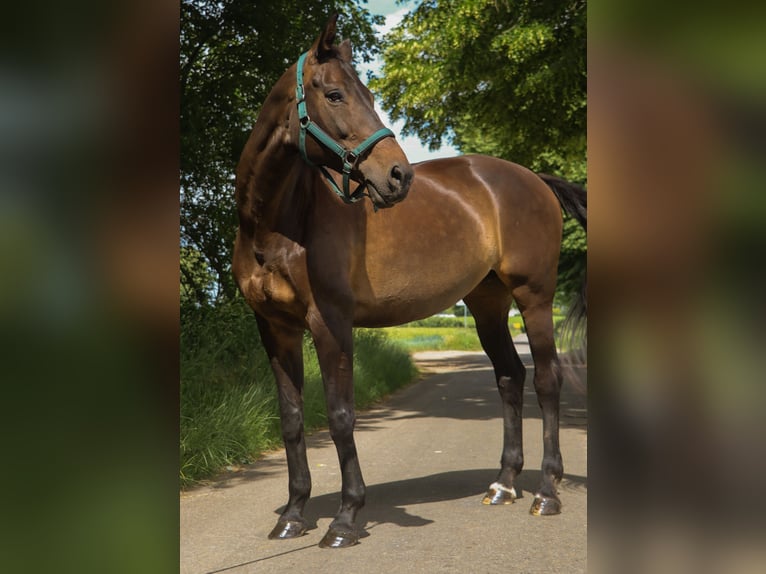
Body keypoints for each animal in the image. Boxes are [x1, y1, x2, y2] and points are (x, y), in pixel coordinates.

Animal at [233, 15, 587, 549]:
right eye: (334, 94)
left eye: (369, 95)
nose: (398, 176)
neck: (278, 225)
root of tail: (536, 180)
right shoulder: (274, 329)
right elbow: (292, 419)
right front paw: (293, 516)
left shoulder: (329, 323)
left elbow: (340, 416)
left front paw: (345, 520)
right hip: (487, 303)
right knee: (510, 377)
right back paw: (503, 484)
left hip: (535, 297)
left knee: (547, 383)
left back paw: (547, 492)